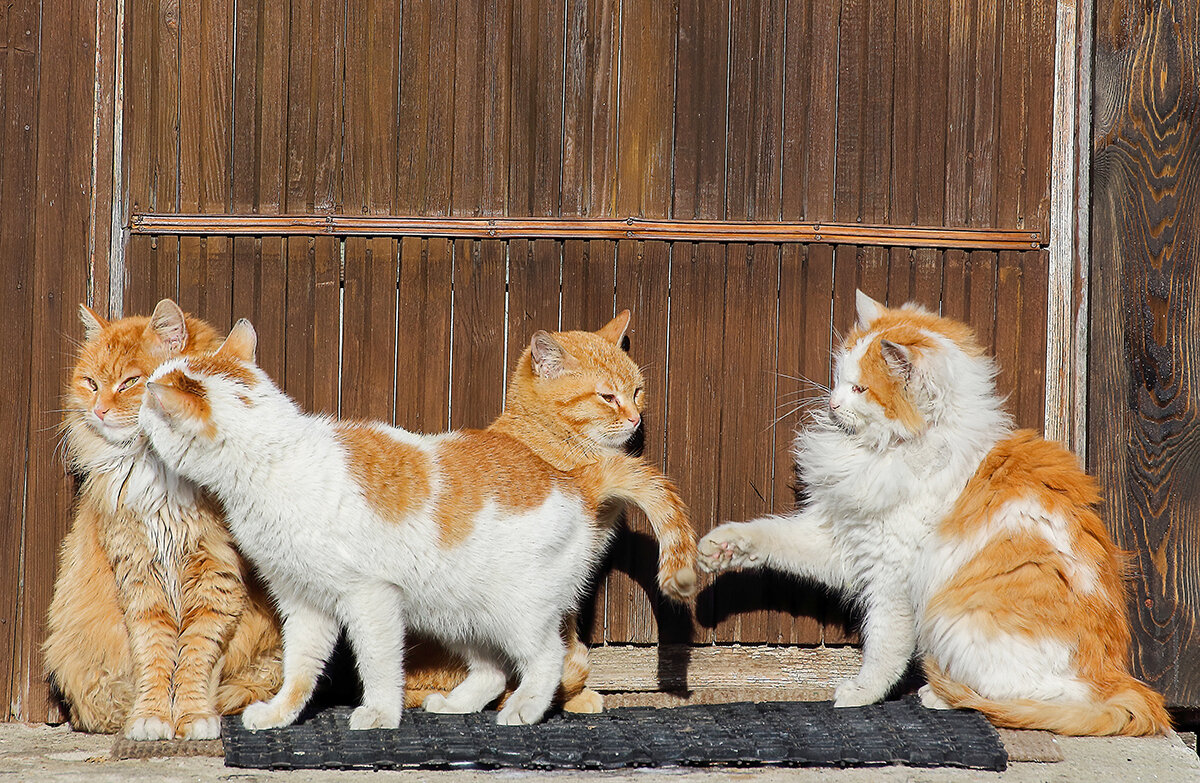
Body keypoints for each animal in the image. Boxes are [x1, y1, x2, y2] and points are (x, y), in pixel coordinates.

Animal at [44, 300, 280, 739]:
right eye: (91, 383)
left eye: (130, 382)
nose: (99, 410)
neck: (160, 472)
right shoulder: (140, 575)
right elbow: (154, 655)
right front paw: (151, 716)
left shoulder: (216, 574)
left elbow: (196, 656)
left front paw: (193, 716)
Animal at [700, 291, 1166, 734]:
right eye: (839, 381)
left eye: (859, 389)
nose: (832, 404)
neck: (896, 449)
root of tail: (1119, 678)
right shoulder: (847, 543)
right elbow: (769, 537)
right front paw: (720, 549)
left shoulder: (891, 578)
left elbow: (883, 648)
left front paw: (861, 694)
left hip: (959, 620)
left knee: (1046, 699)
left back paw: (942, 696)